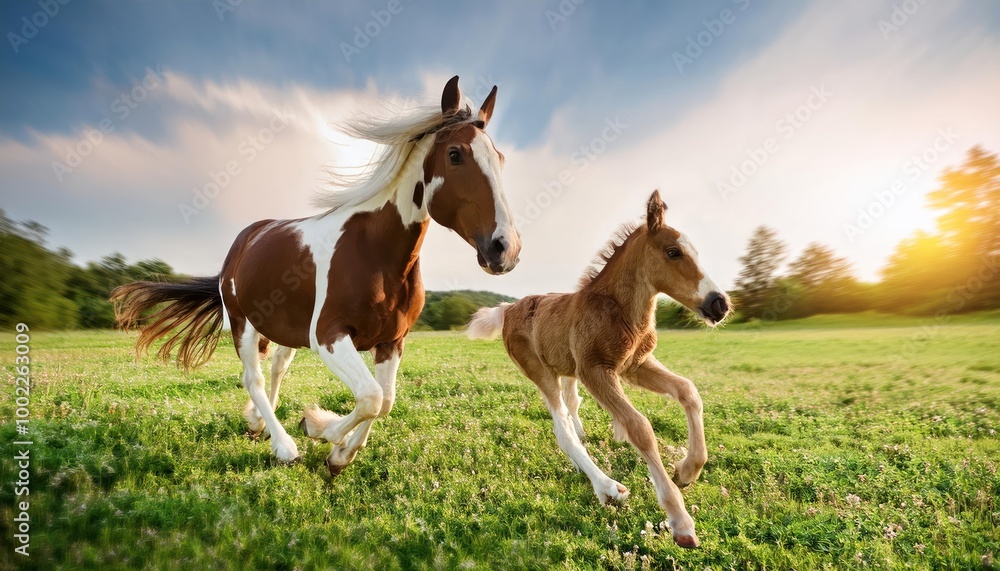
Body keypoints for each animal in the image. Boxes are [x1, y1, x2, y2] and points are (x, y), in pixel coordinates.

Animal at [112, 76, 521, 476]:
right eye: (455, 154)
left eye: (500, 158)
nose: (506, 249)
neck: (375, 250)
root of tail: (246, 238)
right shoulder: (328, 335)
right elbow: (371, 397)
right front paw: (317, 428)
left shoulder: (392, 341)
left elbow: (386, 400)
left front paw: (339, 455)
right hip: (243, 323)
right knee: (253, 377)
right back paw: (283, 446)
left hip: (285, 329)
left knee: (277, 369)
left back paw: (257, 424)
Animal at [467, 190, 730, 548]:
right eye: (673, 252)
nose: (719, 304)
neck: (618, 309)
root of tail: (506, 309)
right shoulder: (596, 371)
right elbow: (640, 426)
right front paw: (680, 520)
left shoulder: (635, 365)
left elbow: (688, 391)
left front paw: (688, 470)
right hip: (540, 371)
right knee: (561, 428)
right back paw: (607, 488)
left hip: (566, 367)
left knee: (571, 405)